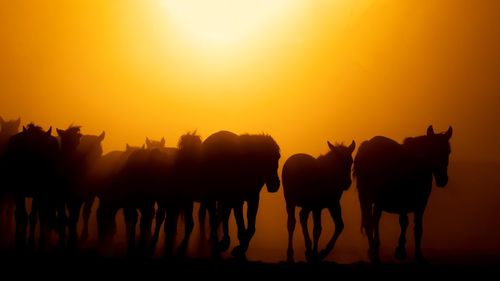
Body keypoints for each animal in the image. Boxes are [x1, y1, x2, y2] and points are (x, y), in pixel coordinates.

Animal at [199, 130, 282, 258]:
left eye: (277, 157)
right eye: (266, 158)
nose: (275, 185)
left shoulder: (253, 199)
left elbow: (251, 227)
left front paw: (242, 247)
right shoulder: (236, 200)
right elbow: (241, 226)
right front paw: (240, 248)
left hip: (225, 199)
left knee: (224, 215)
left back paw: (224, 241)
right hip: (211, 197)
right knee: (214, 217)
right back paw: (216, 242)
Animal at [356, 125, 454, 262]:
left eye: (448, 152)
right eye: (432, 150)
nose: (442, 180)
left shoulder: (416, 204)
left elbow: (415, 227)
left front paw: (414, 254)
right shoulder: (412, 202)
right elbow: (407, 223)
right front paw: (402, 251)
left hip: (371, 199)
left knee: (373, 221)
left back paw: (374, 249)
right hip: (372, 198)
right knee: (372, 222)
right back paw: (375, 254)